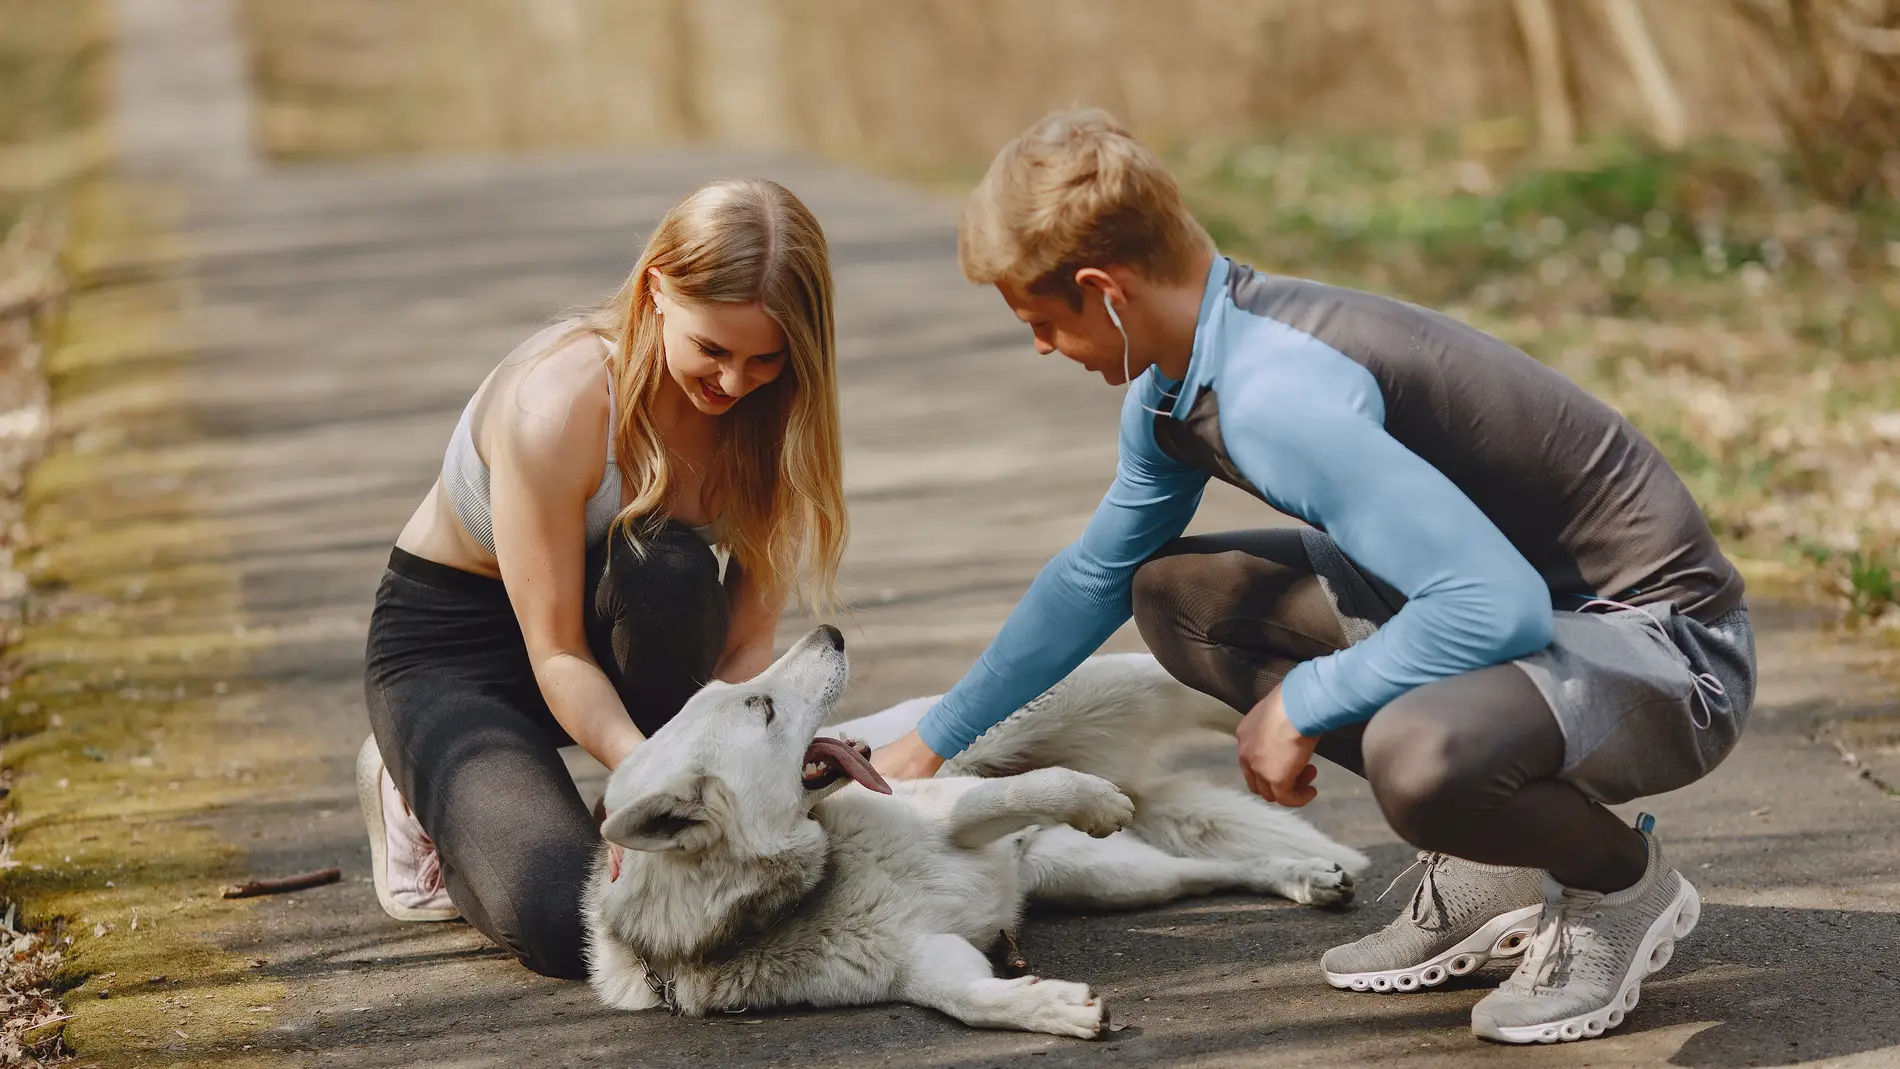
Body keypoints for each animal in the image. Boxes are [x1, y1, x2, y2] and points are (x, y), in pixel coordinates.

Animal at [581, 626, 1368, 1040]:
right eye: (763, 707)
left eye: (743, 694)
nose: (830, 631)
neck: (818, 881)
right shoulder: (927, 963)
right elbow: (972, 1003)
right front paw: (1052, 1007)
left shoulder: (956, 809)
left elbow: (1031, 788)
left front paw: (1090, 798)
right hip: (1111, 881)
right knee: (1205, 872)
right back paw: (1302, 875)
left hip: (1097, 698)